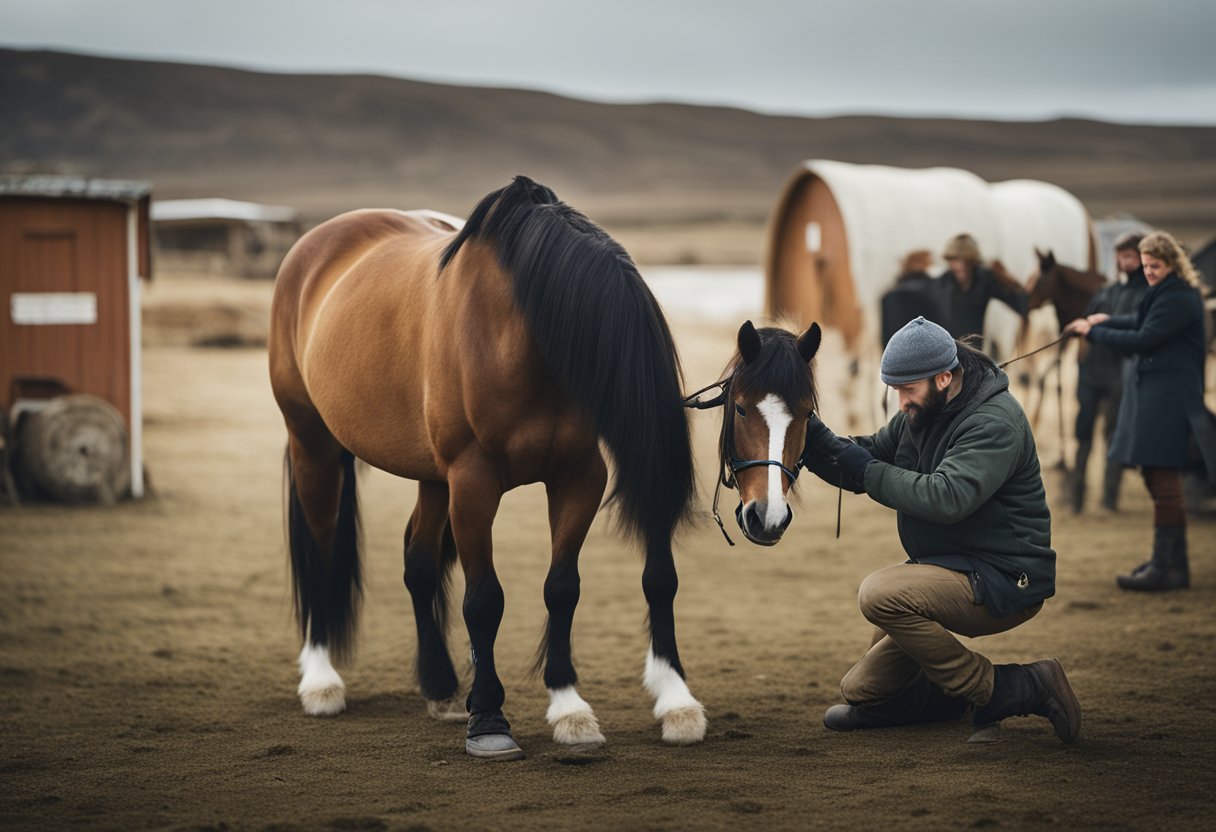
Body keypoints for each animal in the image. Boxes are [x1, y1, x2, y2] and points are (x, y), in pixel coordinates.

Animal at [267, 177, 705, 759]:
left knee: (418, 563)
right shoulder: (473, 484)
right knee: (319, 555)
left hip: (432, 476)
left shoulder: (578, 477)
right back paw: (321, 683)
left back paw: (441, 686)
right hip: (313, 445)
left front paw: (569, 707)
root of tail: (313, 247)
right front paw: (490, 720)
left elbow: (562, 587)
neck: (514, 337)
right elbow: (484, 601)